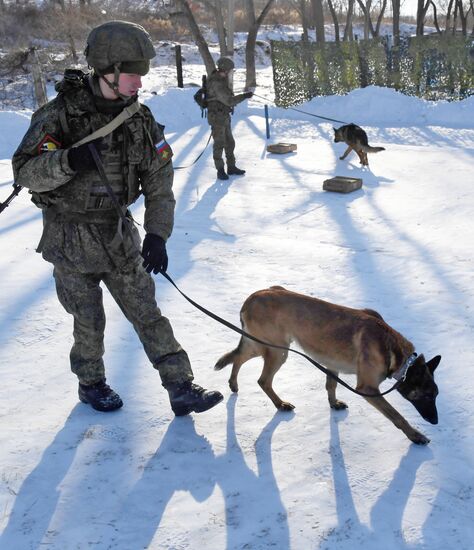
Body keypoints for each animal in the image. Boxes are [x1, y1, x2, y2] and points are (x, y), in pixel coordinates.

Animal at [215, 286, 440, 446]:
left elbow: (331, 386)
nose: (436, 422)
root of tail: (253, 296)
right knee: (262, 380)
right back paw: (280, 404)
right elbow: (397, 416)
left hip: (262, 345)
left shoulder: (332, 364)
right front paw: (415, 435)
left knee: (237, 357)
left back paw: (233, 383)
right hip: (277, 351)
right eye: (428, 396)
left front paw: (333, 403)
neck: (394, 350)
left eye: (435, 395)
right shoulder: (368, 389)